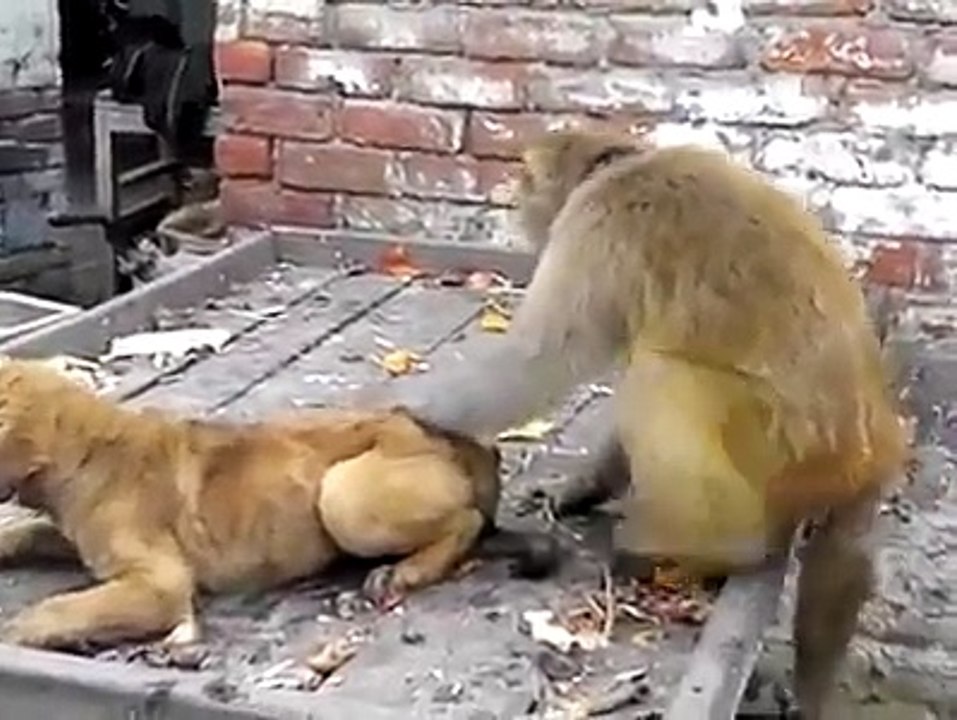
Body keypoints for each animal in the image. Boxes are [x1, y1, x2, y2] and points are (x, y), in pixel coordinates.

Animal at [385, 130, 908, 719]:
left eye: (525, 177)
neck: (619, 164)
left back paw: (711, 544)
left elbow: (539, 358)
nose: (511, 197)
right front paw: (584, 488)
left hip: (777, 450)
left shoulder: (594, 226)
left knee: (657, 373)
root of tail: (865, 451)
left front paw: (408, 406)